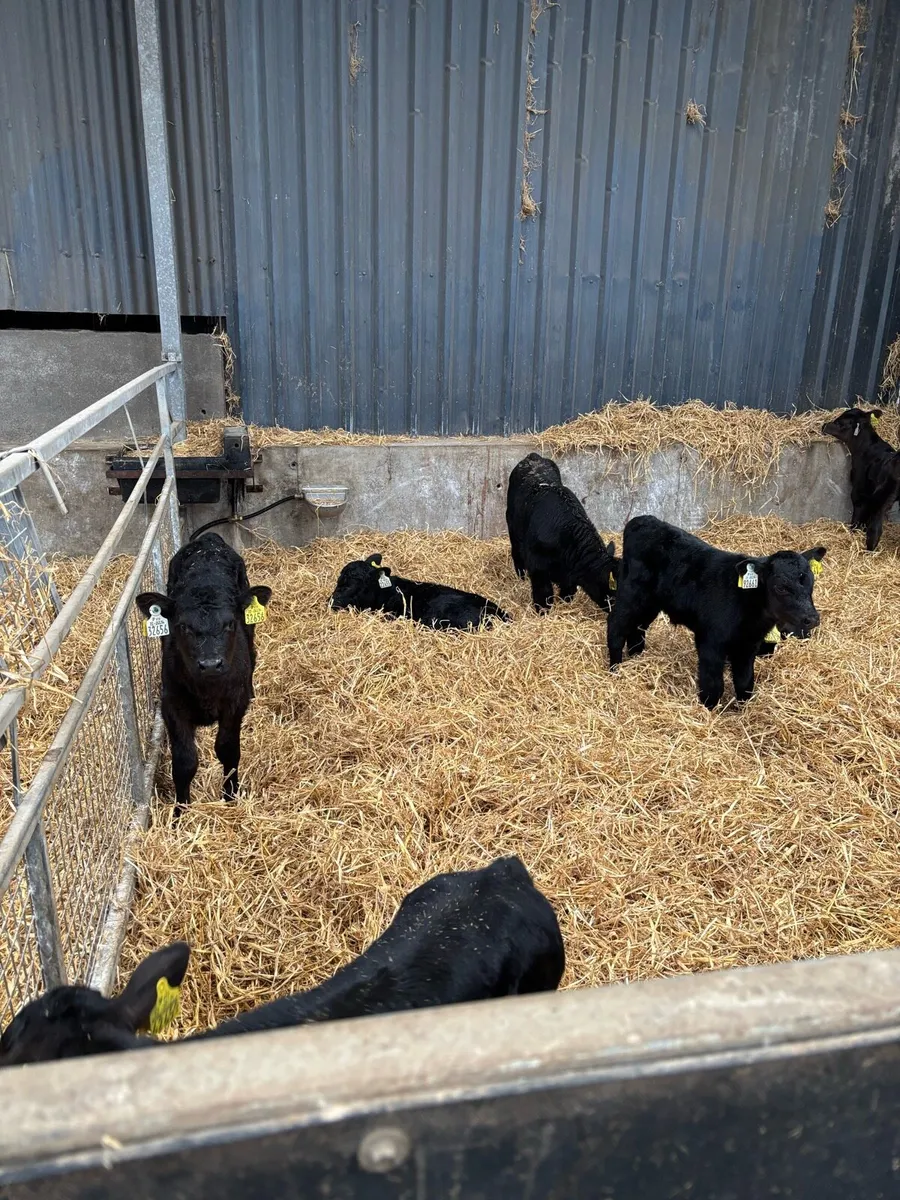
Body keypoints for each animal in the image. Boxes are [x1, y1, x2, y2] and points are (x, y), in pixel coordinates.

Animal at [136, 532, 272, 818]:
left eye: (229, 624)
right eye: (183, 626)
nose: (210, 664)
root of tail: (209, 539)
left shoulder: (234, 703)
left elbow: (228, 750)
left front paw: (230, 796)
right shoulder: (172, 704)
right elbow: (185, 761)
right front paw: (180, 813)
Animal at [505, 452, 618, 612]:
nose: (612, 607)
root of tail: (533, 457)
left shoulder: (568, 575)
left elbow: (568, 590)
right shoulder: (537, 565)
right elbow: (543, 591)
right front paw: (543, 611)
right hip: (513, 527)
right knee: (516, 553)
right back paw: (521, 577)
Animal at [607, 515, 826, 708]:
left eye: (811, 581)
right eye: (780, 587)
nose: (812, 619)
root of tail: (642, 520)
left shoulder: (748, 646)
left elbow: (745, 683)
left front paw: (741, 710)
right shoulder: (710, 642)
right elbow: (713, 686)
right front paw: (709, 710)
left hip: (650, 603)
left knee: (638, 628)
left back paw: (636, 658)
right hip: (631, 594)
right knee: (616, 625)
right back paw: (614, 668)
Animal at [822, 407, 900, 550]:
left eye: (840, 423)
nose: (824, 425)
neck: (865, 448)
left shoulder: (860, 491)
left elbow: (859, 515)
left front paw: (853, 532)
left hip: (882, 497)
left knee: (875, 527)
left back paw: (869, 550)